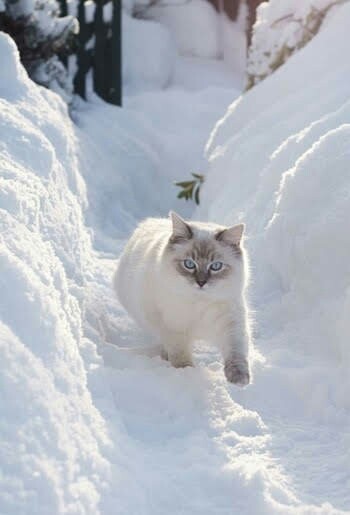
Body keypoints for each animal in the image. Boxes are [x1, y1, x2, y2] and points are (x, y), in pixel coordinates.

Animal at [115, 212, 252, 384]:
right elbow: (180, 354)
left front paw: (239, 379)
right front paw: (186, 372)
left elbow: (236, 351)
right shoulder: (172, 327)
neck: (198, 302)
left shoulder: (230, 323)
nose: (201, 282)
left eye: (216, 266)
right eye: (189, 264)